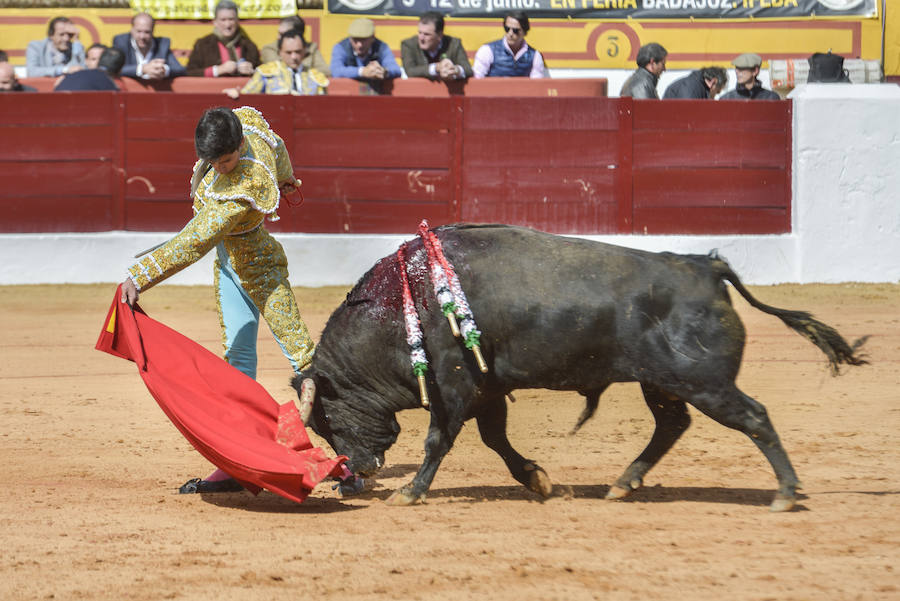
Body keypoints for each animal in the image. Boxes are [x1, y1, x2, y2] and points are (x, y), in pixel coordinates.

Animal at [294, 225, 864, 510]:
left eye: (328, 418)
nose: (350, 477)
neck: (404, 306)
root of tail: (705, 266)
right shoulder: (487, 387)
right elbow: (495, 439)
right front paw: (536, 480)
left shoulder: (455, 382)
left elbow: (440, 438)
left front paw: (411, 492)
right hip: (663, 383)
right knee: (672, 424)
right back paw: (623, 484)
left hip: (704, 381)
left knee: (754, 417)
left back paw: (785, 493)